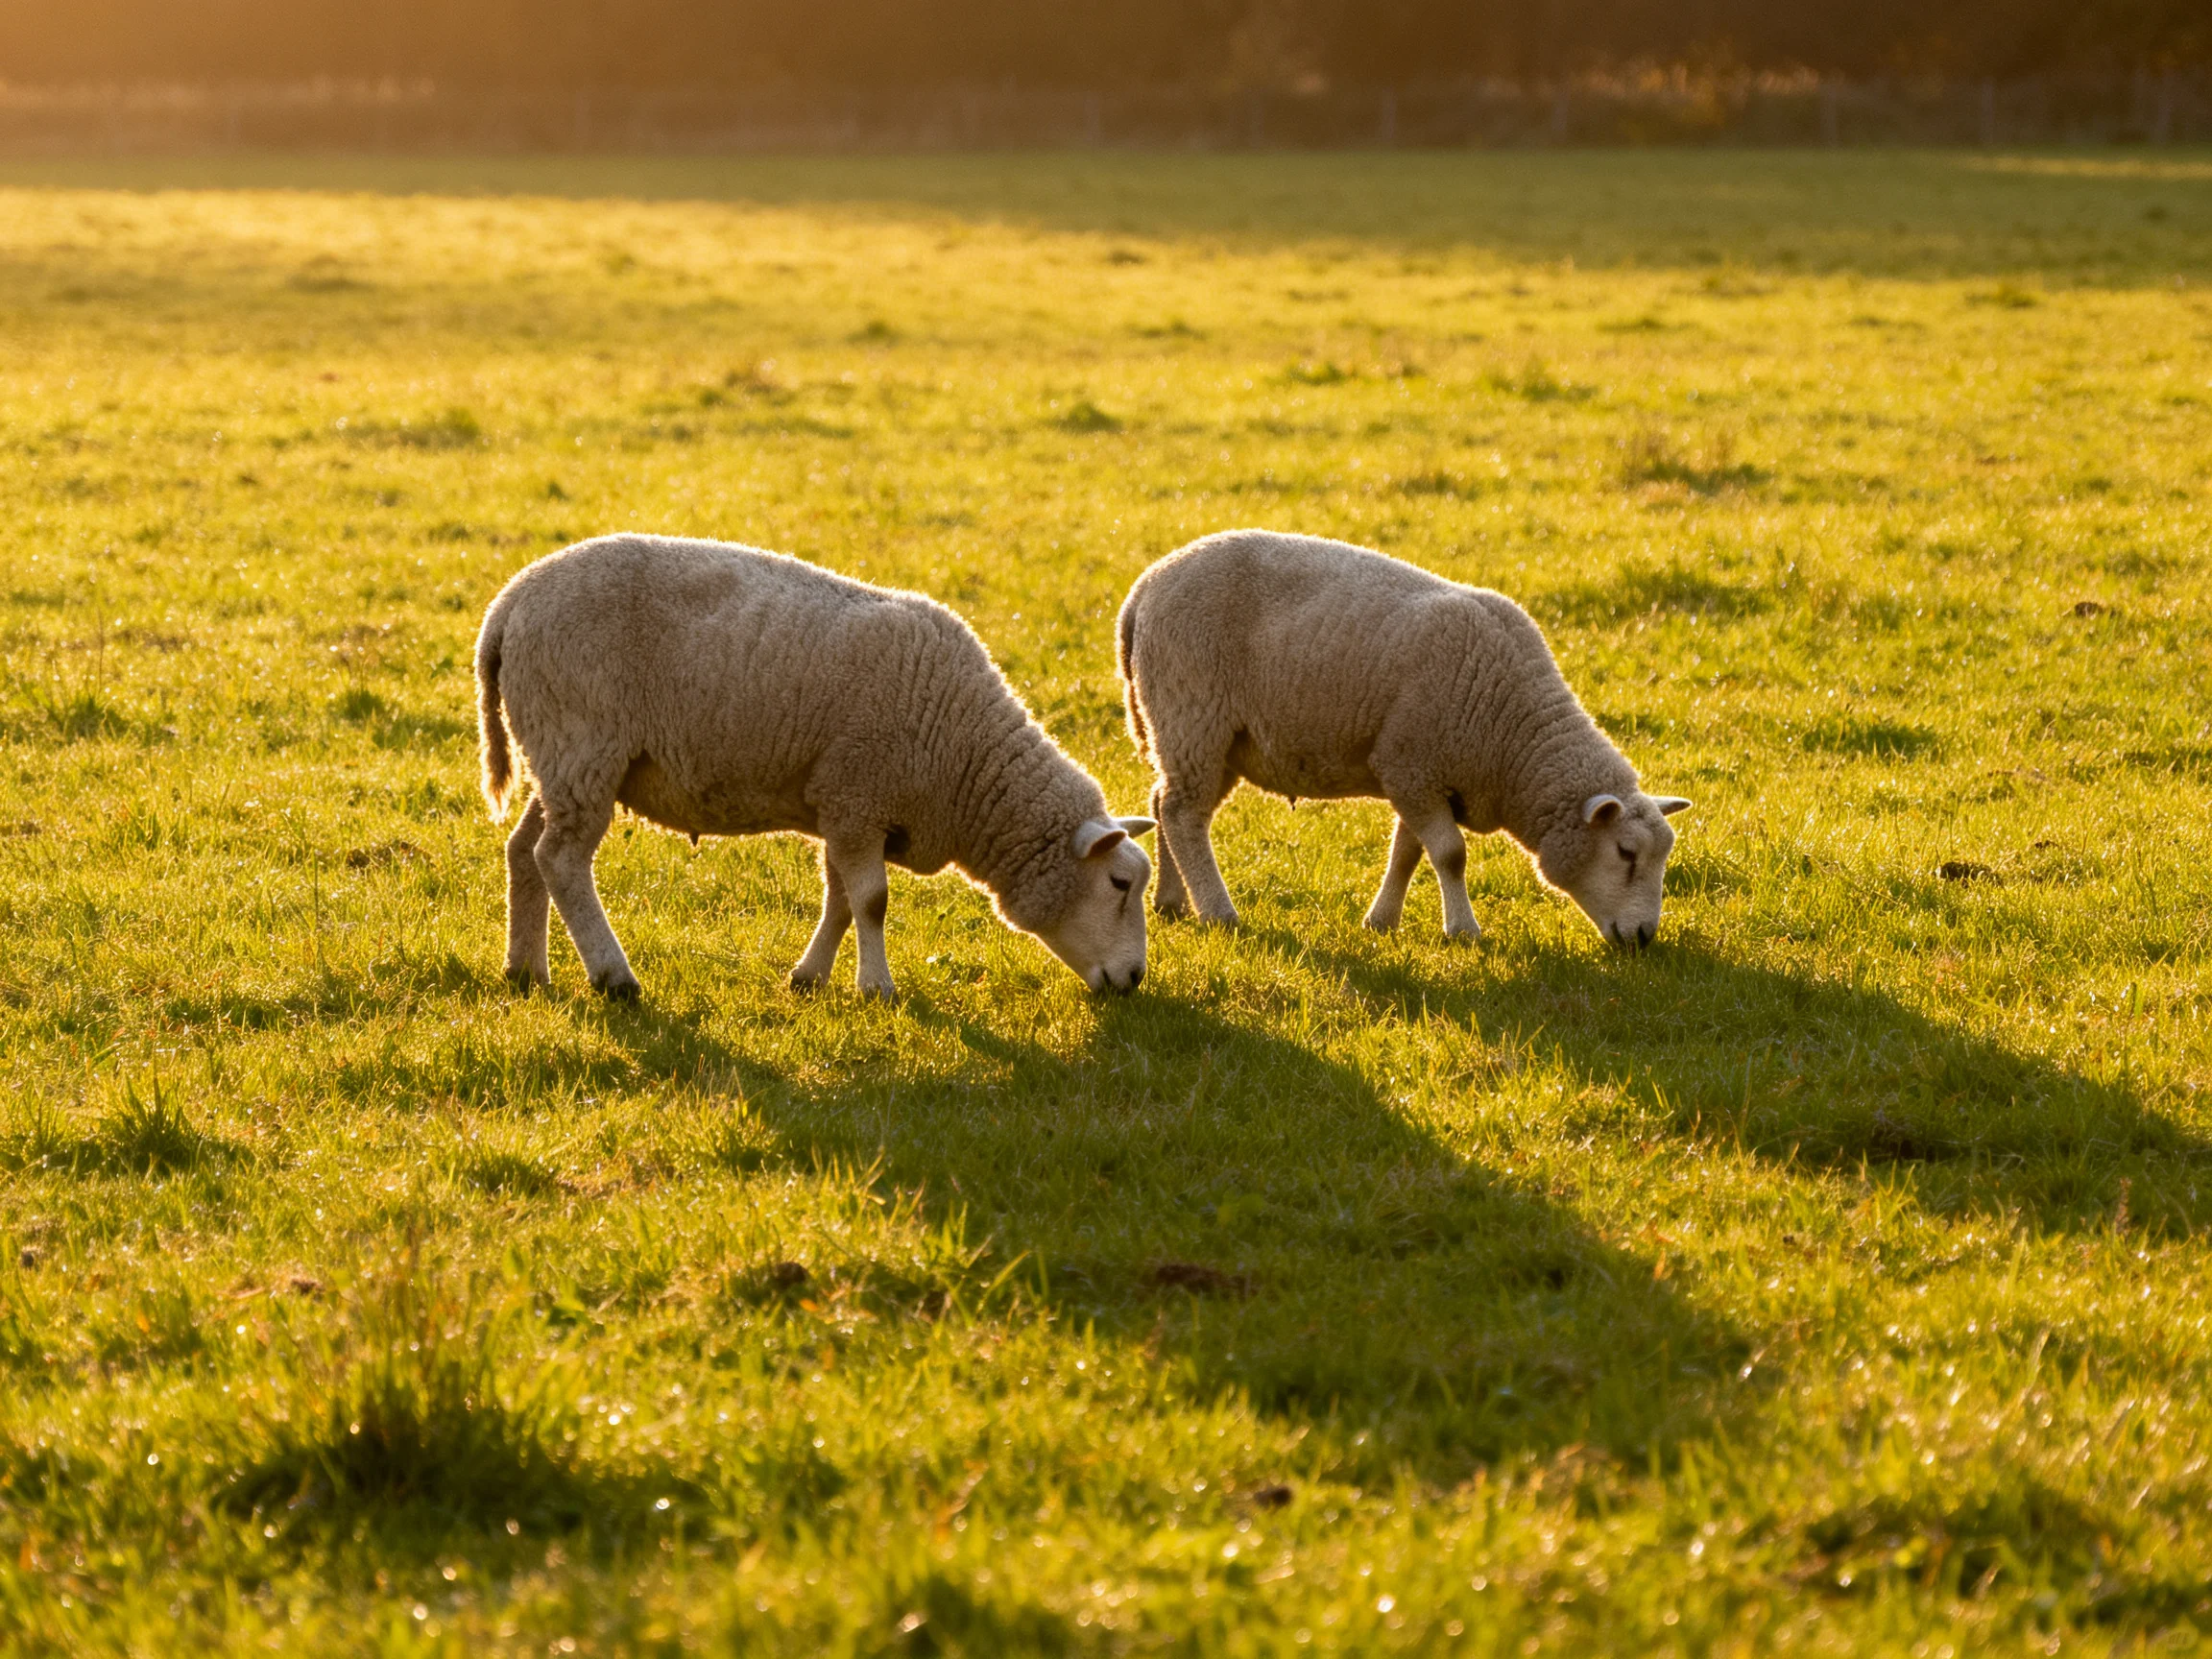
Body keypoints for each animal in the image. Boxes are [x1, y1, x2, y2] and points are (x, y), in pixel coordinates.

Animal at [476, 534, 1155, 1001]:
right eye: (1120, 883)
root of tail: (508, 605)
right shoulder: (860, 797)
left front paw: (809, 978)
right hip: (582, 743)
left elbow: (841, 901)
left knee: (524, 851)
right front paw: (877, 989)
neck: (965, 757)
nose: (1135, 978)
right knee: (561, 861)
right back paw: (614, 977)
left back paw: (526, 970)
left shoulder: (842, 804)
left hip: (559, 755)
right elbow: (873, 900)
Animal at [1117, 530, 1690, 948]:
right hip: (1194, 714)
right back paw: (1218, 913)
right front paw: (1463, 931)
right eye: (1626, 852)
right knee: (1184, 815)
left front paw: (1381, 922)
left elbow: (1408, 853)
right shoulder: (1410, 765)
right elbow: (1451, 854)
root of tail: (1143, 589)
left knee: (1164, 802)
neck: (1513, 737)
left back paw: (1170, 902)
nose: (1644, 937)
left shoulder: (1419, 777)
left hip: (1204, 735)